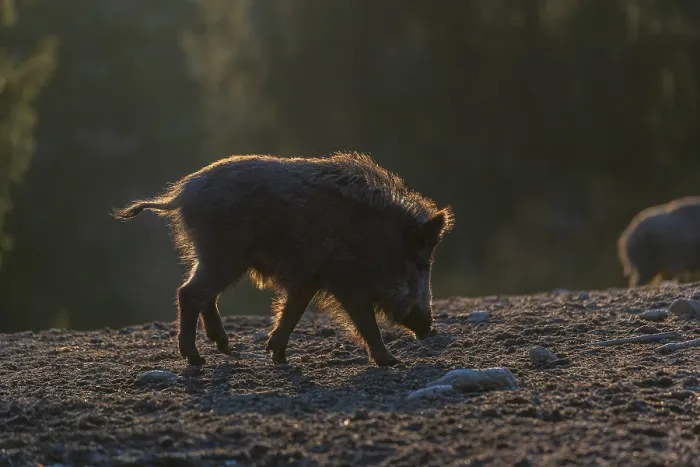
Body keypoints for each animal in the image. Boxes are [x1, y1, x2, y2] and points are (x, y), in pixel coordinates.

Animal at [112, 152, 454, 366]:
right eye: (421, 264)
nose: (429, 328)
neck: (375, 243)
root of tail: (180, 195)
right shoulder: (345, 281)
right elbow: (364, 321)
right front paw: (393, 362)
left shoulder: (308, 279)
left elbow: (292, 311)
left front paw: (278, 356)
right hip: (224, 254)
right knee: (189, 293)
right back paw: (197, 359)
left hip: (215, 256)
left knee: (202, 294)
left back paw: (227, 349)